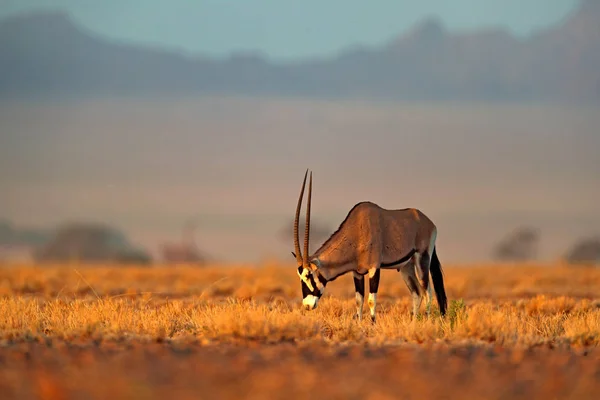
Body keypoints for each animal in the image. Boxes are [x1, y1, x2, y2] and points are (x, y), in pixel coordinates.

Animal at [290, 169, 446, 322]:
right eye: (300, 277)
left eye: (309, 275)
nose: (307, 305)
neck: (357, 232)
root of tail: (428, 222)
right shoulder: (357, 273)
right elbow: (359, 300)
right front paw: (359, 324)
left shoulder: (374, 269)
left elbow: (371, 300)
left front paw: (372, 323)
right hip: (406, 266)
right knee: (417, 292)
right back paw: (413, 323)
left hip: (422, 259)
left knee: (427, 292)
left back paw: (427, 321)